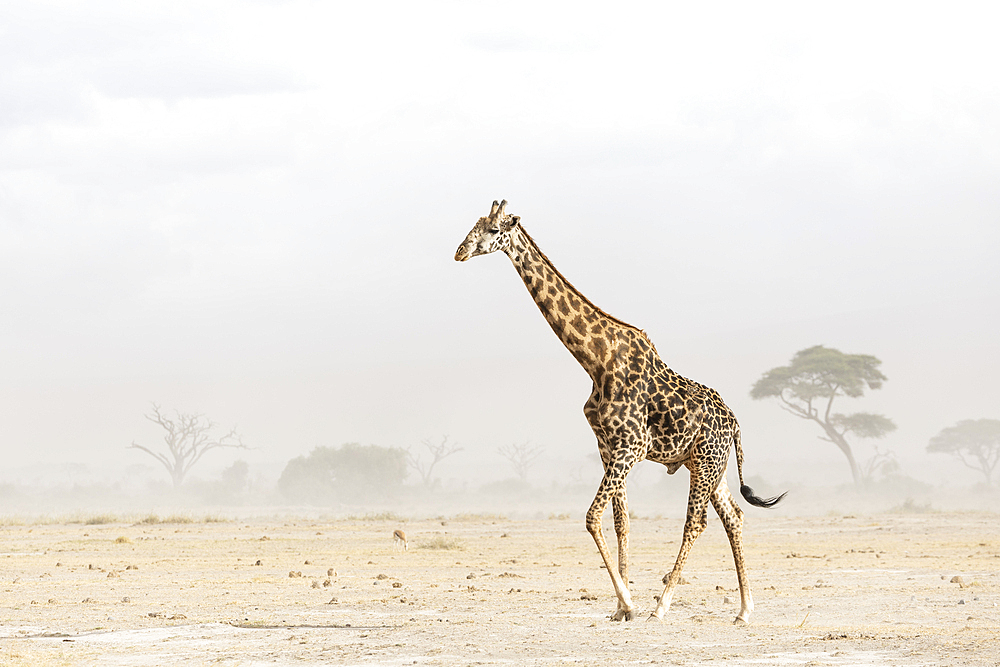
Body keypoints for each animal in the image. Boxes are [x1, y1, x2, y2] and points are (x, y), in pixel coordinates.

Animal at [456, 201, 788, 624]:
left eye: (494, 229)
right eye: (474, 224)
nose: (459, 251)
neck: (595, 361)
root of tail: (735, 423)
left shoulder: (631, 445)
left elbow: (591, 516)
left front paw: (630, 603)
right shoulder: (607, 447)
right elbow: (620, 522)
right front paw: (619, 607)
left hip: (706, 463)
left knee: (696, 523)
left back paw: (662, 607)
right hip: (710, 465)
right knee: (734, 517)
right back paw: (744, 610)